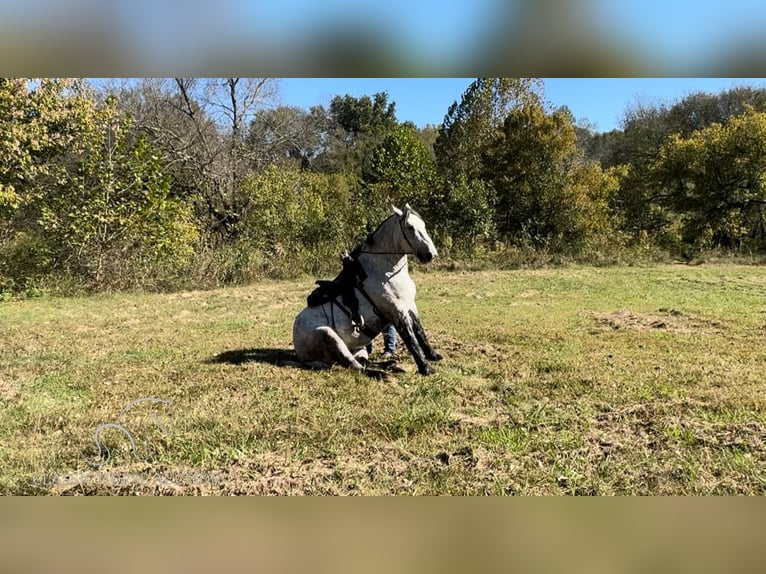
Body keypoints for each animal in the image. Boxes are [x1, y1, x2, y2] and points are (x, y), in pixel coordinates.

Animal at [296, 205, 448, 376]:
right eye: (410, 227)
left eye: (423, 225)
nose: (431, 254)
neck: (385, 272)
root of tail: (300, 353)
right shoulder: (397, 311)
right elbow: (411, 340)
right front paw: (426, 368)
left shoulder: (410, 306)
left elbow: (421, 333)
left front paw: (433, 356)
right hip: (328, 335)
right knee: (356, 367)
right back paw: (384, 374)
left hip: (359, 348)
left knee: (364, 361)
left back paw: (390, 364)